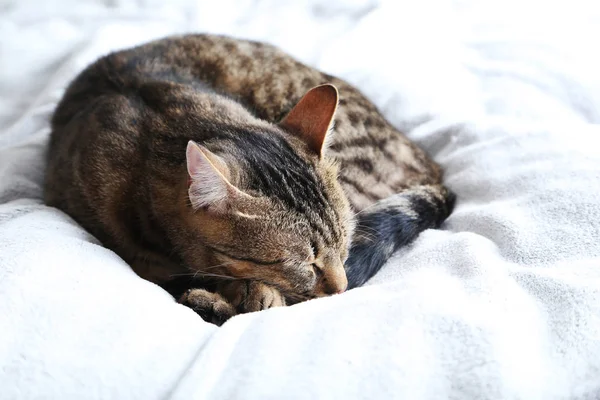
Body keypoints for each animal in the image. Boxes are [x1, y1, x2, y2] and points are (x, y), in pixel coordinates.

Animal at [44, 33, 454, 324]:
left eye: (345, 245)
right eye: (305, 262)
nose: (342, 289)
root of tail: (433, 168)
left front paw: (246, 293)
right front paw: (235, 293)